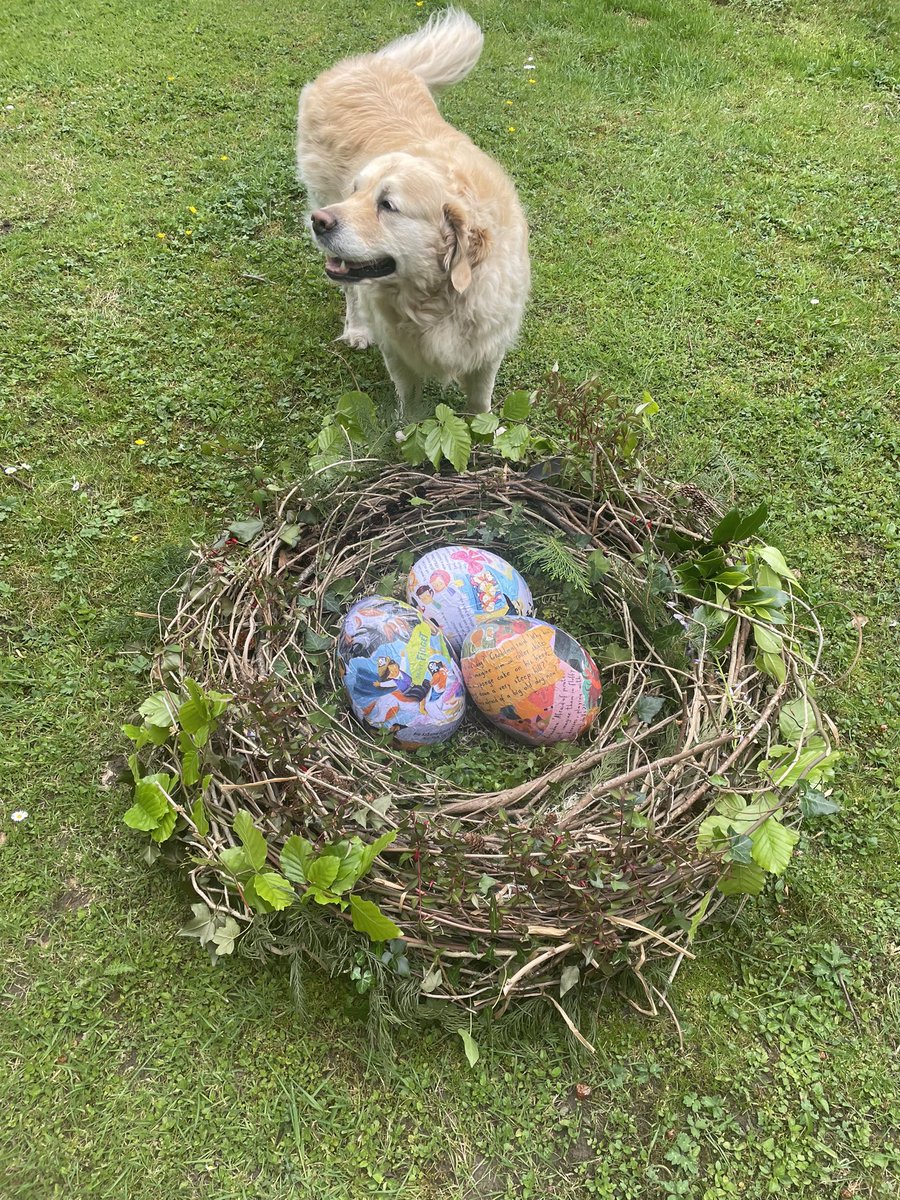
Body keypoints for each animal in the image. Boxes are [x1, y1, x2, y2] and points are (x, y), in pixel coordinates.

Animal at [300, 8, 532, 417]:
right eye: (356, 192)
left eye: (387, 205)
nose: (319, 222)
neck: (440, 300)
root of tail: (366, 63)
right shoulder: (399, 353)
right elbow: (410, 404)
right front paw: (407, 428)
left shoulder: (487, 351)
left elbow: (480, 404)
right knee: (350, 290)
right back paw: (357, 328)